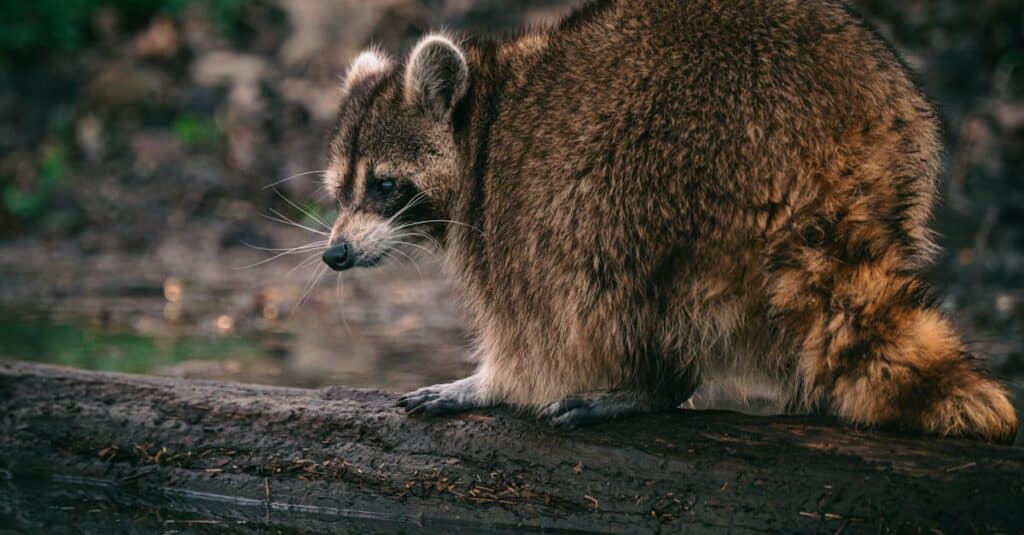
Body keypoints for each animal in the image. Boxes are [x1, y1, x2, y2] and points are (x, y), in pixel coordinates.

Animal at [317, 0, 1015, 440]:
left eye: (385, 186)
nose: (335, 254)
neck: (484, 113)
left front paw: (491, 383)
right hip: (905, 153)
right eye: (339, 193)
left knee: (593, 256)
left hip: (675, 164)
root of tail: (831, 139)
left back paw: (653, 382)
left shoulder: (509, 205)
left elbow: (532, 332)